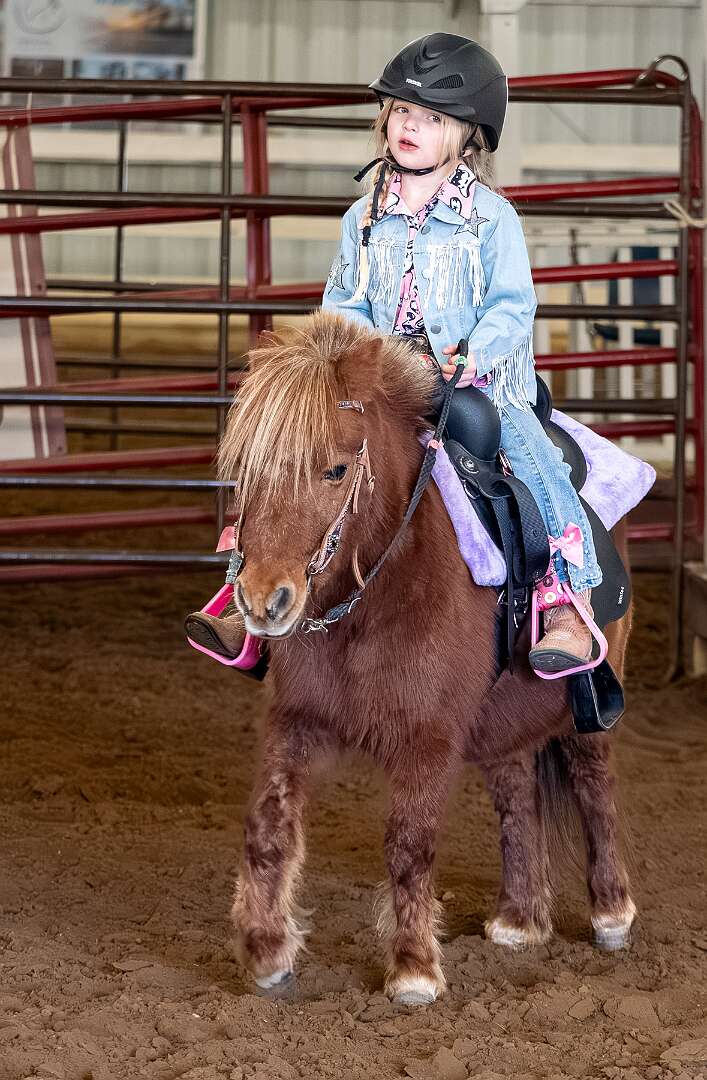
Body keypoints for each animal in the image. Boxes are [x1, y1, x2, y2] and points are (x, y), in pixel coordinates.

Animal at [218, 310, 636, 1005]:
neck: (378, 594)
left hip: (591, 704)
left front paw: (413, 968)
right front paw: (268, 951)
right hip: (502, 716)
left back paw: (611, 913)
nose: (262, 599)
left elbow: (408, 844)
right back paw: (519, 919)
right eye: (247, 467)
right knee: (515, 792)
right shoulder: (296, 719)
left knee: (595, 786)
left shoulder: (430, 736)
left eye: (335, 470)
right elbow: (267, 827)